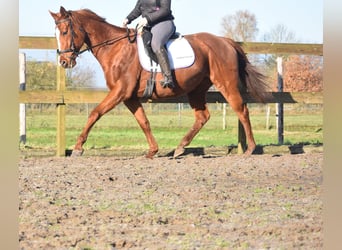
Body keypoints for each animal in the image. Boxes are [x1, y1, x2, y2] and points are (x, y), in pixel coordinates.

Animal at [49, 6, 268, 159]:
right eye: (56, 34)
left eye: (66, 31)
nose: (64, 62)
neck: (115, 48)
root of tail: (225, 41)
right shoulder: (129, 97)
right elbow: (143, 121)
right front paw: (152, 151)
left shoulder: (120, 91)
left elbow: (95, 113)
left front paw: (78, 148)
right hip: (196, 89)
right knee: (202, 117)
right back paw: (180, 148)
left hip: (226, 84)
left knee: (241, 110)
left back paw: (250, 148)